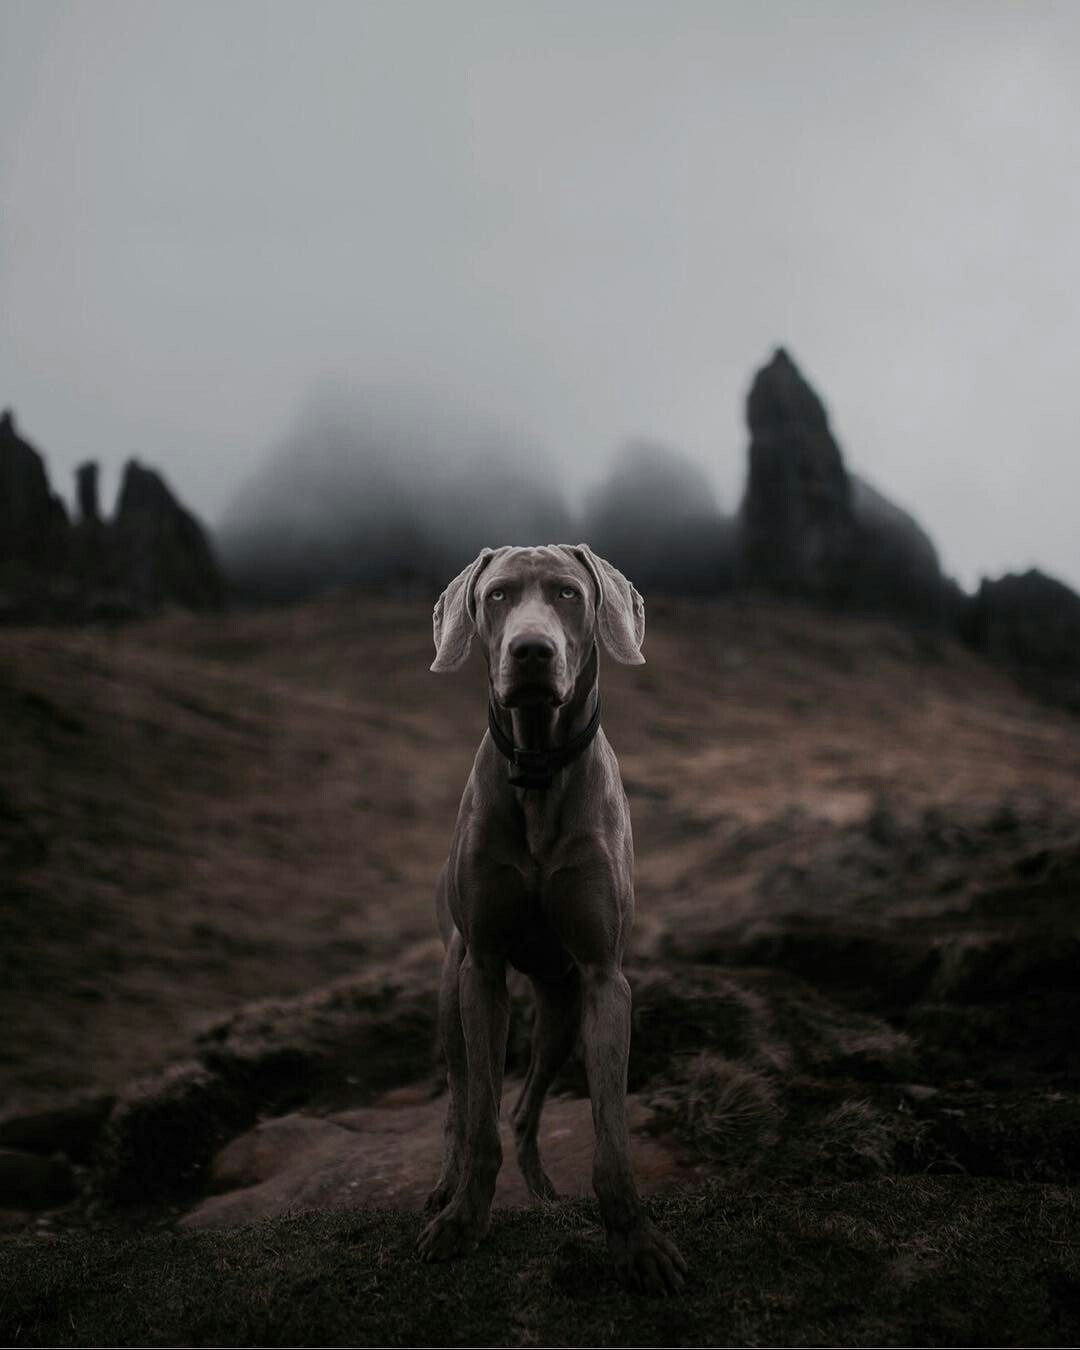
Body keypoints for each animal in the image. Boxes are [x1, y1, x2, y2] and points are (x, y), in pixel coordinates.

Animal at [418, 540, 688, 1296]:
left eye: (568, 593)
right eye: (498, 596)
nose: (531, 651)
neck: (538, 772)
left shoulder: (603, 977)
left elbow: (610, 1134)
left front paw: (635, 1242)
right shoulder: (482, 969)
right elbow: (478, 1123)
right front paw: (462, 1221)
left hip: (562, 1008)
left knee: (526, 1102)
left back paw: (541, 1191)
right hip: (452, 989)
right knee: (462, 1100)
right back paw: (447, 1186)